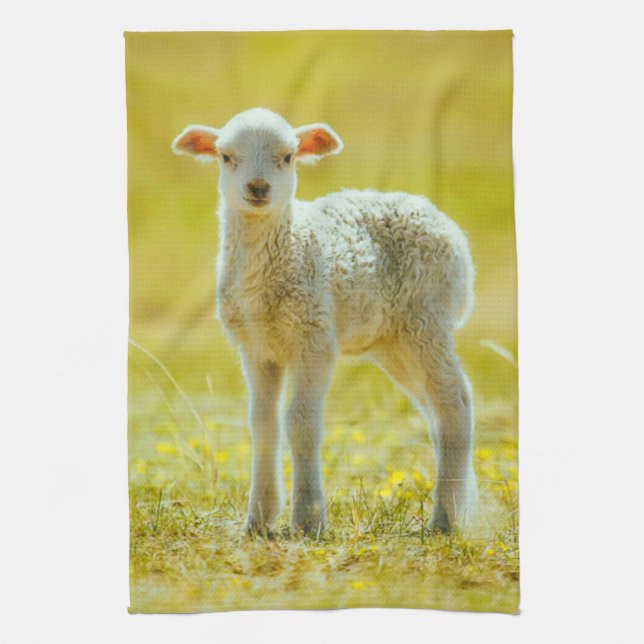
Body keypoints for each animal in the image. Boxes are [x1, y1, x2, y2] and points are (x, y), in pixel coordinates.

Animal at [172, 107, 478, 536]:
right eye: (225, 157)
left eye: (288, 157)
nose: (258, 187)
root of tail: (445, 224)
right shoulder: (255, 347)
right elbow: (262, 425)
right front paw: (259, 520)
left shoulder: (314, 338)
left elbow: (300, 424)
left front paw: (307, 520)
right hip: (393, 340)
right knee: (434, 409)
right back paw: (456, 504)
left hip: (427, 319)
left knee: (455, 402)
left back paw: (444, 520)